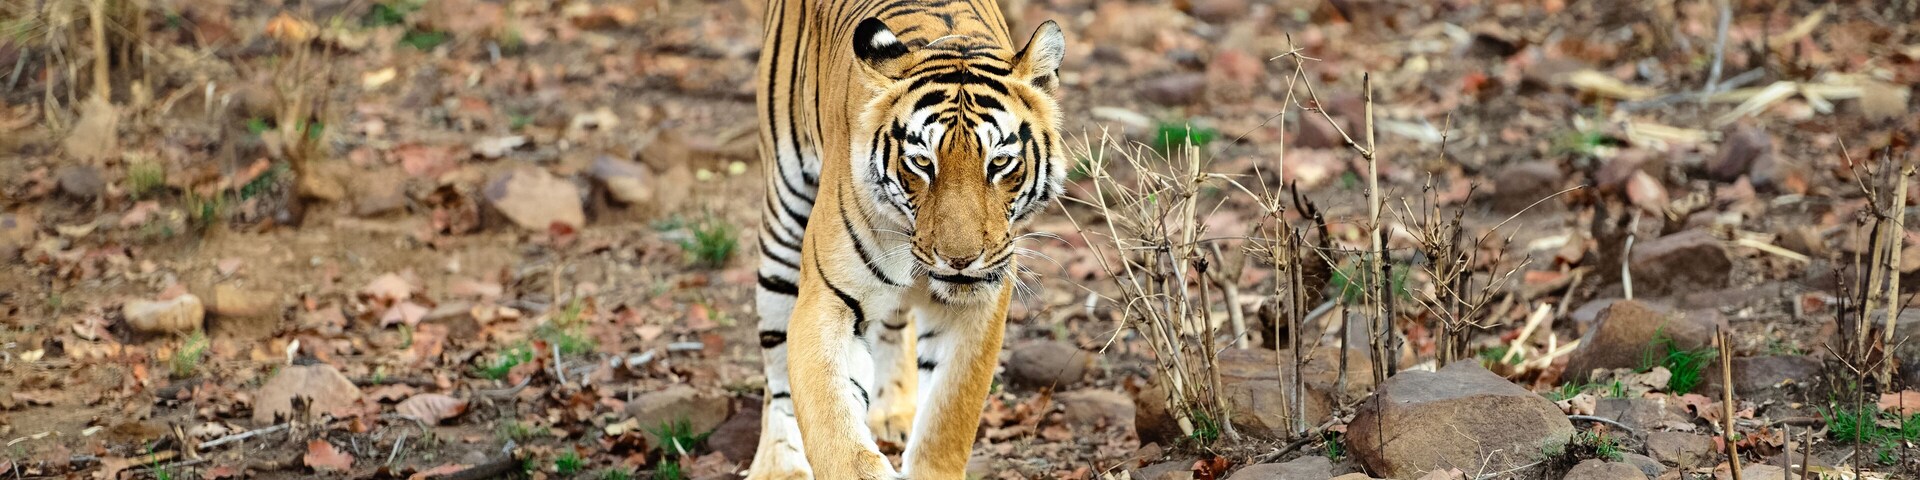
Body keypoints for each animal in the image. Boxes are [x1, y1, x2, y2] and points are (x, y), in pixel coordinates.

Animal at [746, 0, 1068, 476]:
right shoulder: (827, 299)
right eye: (921, 162)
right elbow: (833, 424)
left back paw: (893, 409)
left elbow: (947, 420)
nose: (959, 260)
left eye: (999, 162)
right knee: (778, 369)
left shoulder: (980, 307)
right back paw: (778, 466)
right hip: (783, 219)